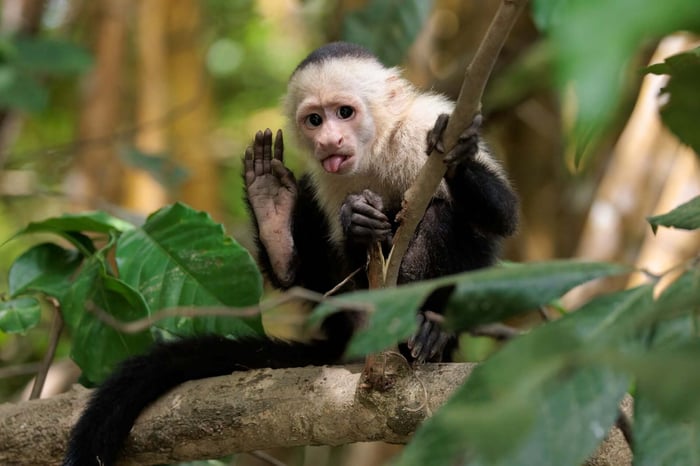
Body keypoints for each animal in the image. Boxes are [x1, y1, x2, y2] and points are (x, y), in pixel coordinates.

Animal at [62, 42, 518, 466]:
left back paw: (425, 328)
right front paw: (353, 222)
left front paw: (456, 154)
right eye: (315, 119)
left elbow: (503, 218)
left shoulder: (424, 121)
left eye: (345, 112)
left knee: (444, 215)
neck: (378, 149)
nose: (330, 140)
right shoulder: (330, 179)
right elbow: (343, 266)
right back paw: (276, 221)